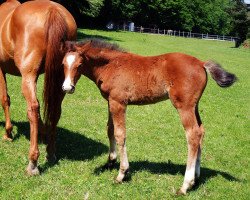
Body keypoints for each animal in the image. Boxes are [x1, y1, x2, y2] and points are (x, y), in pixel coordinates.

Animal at [0, 0, 77, 175]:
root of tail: (53, 10)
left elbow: (5, 99)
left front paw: (8, 132)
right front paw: (43, 132)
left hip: (28, 75)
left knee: (33, 109)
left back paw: (33, 162)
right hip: (61, 78)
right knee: (55, 110)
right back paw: (50, 152)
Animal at [60, 39, 236, 195]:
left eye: (79, 65)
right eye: (63, 64)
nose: (67, 87)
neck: (111, 65)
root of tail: (201, 62)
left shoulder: (119, 103)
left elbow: (120, 134)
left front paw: (122, 174)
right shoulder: (110, 102)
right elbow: (110, 130)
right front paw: (110, 162)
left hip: (184, 106)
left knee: (193, 135)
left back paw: (185, 185)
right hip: (194, 106)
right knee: (201, 131)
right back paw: (196, 177)